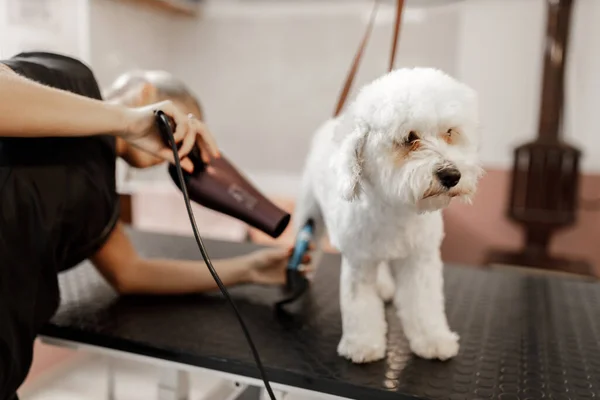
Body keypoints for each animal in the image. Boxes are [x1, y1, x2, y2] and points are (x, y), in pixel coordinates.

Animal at [296, 67, 482, 364]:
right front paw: (362, 344)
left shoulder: (420, 259)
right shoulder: (359, 263)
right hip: (309, 214)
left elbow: (424, 304)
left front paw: (433, 340)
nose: (452, 175)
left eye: (449, 132)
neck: (397, 209)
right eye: (409, 138)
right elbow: (360, 306)